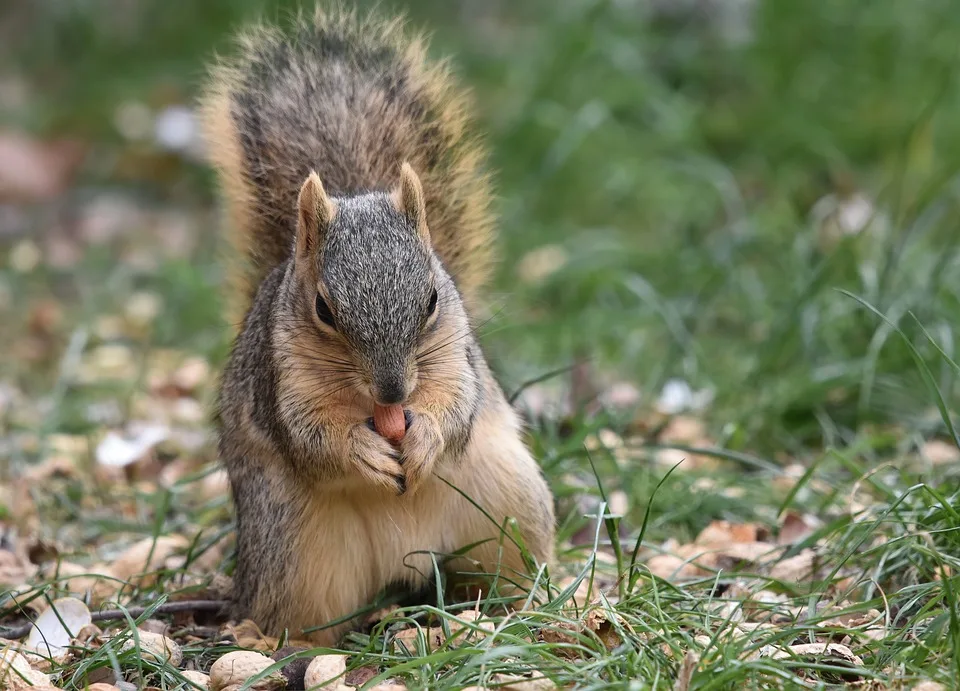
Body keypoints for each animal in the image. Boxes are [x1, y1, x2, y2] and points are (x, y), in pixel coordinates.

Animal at [198, 6, 556, 645]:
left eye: (434, 298)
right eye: (323, 310)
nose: (393, 392)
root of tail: (407, 560)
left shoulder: (456, 359)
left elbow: (457, 406)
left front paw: (427, 437)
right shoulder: (279, 381)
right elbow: (309, 438)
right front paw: (360, 451)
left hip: (508, 502)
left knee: (508, 568)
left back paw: (532, 607)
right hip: (294, 548)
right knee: (303, 616)